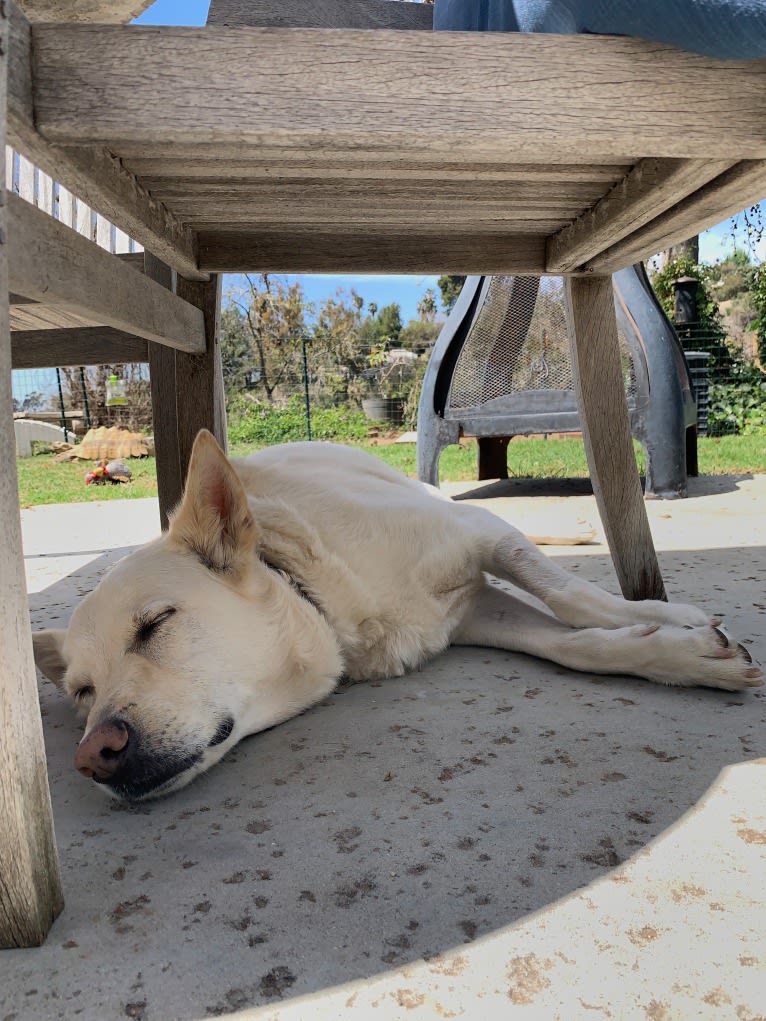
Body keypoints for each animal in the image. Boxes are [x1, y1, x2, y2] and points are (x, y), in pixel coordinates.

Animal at [31, 426, 763, 800]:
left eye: (155, 624)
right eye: (82, 692)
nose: (93, 756)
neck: (318, 589)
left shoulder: (482, 538)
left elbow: (573, 599)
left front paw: (674, 623)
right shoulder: (474, 612)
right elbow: (575, 645)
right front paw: (678, 652)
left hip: (454, 508)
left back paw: (586, 538)